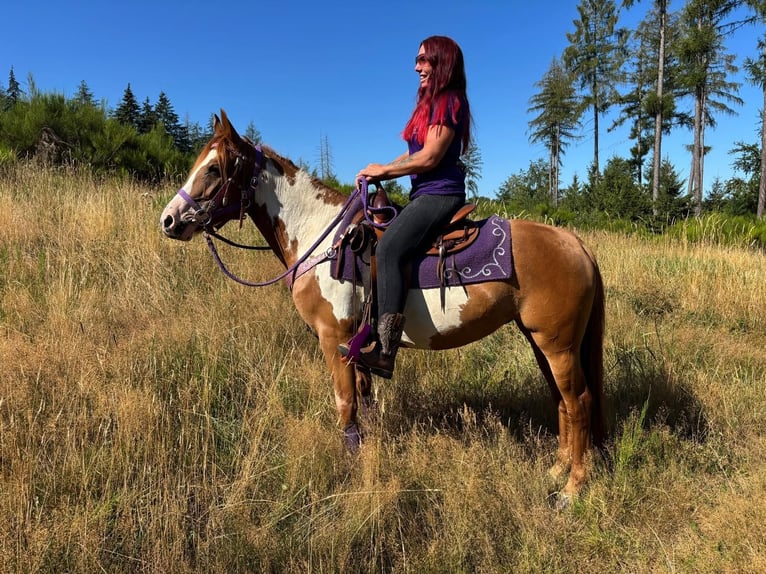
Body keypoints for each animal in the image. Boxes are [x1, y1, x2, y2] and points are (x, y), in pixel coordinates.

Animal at [160, 110, 605, 505]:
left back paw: (572, 490)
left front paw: (350, 462)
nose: (169, 220)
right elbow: (364, 397)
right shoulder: (356, 346)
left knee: (579, 402)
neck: (322, 241)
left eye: (213, 169)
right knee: (562, 400)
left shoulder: (333, 339)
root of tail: (576, 244)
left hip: (557, 345)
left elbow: (345, 403)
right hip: (542, 341)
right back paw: (556, 469)